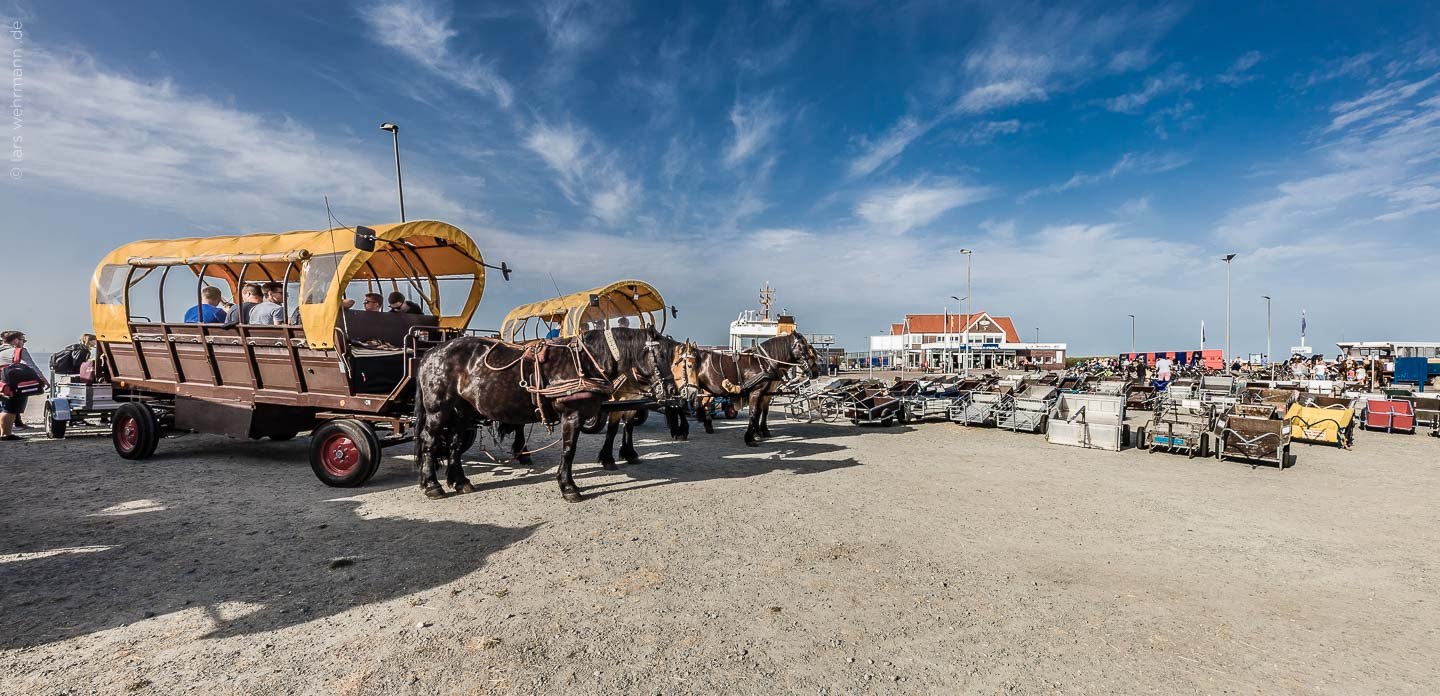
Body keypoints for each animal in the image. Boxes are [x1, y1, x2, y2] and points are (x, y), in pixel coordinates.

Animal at [676, 331, 823, 446]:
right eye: (804, 347)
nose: (816, 371)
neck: (764, 362)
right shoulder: (756, 392)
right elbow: (753, 413)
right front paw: (751, 437)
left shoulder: (765, 393)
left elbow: (761, 412)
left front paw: (759, 432)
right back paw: (683, 430)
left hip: (706, 389)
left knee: (705, 403)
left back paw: (708, 425)